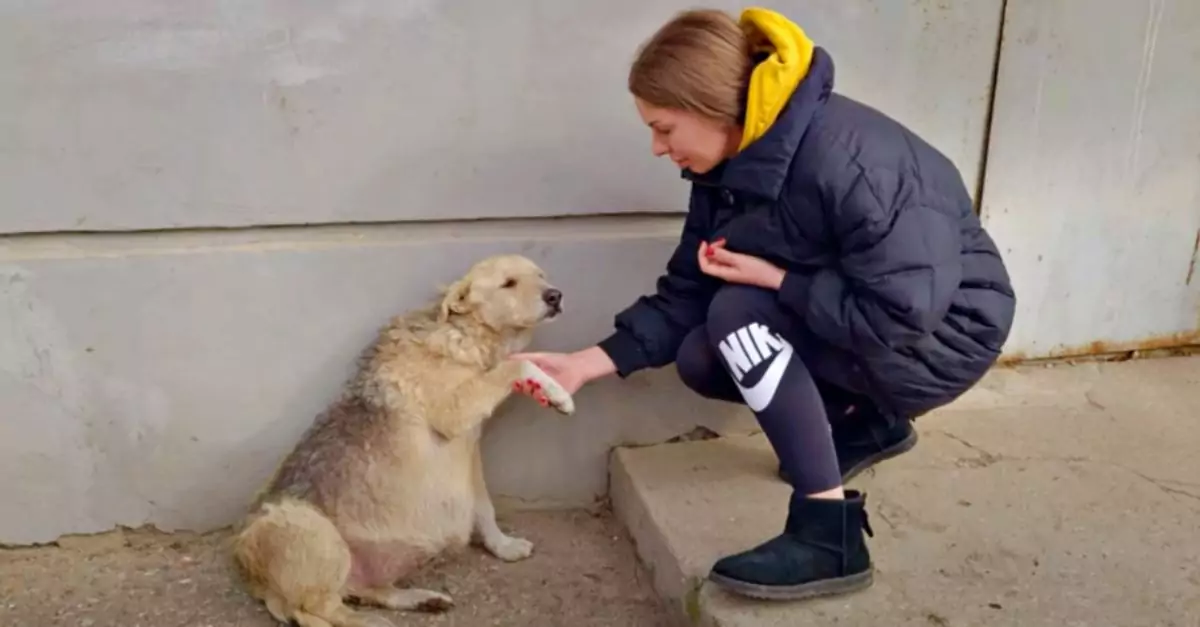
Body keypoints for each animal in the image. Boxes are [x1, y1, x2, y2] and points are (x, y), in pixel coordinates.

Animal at [232, 252, 576, 624]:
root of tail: (252, 576)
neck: (463, 334)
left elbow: (484, 508)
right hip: (312, 531)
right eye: (508, 283)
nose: (555, 295)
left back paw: (420, 599)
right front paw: (558, 393)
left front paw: (503, 546)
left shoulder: (470, 452)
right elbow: (518, 366)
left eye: (541, 275)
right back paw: (369, 621)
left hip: (356, 566)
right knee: (315, 611)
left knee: (363, 591)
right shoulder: (454, 413)